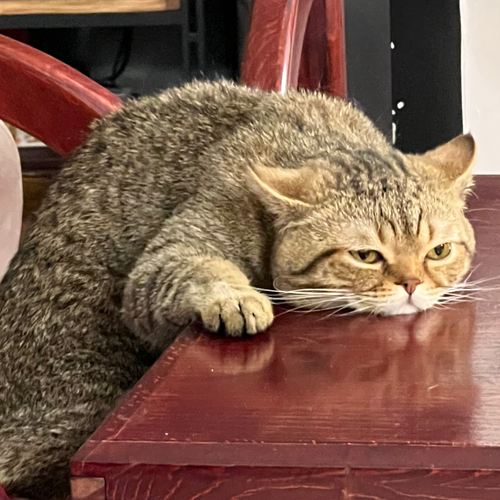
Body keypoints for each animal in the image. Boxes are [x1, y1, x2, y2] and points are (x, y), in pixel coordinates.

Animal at [0, 80, 476, 499]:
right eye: (366, 256)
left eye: (438, 251)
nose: (412, 284)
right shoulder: (174, 251)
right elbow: (196, 269)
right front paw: (236, 298)